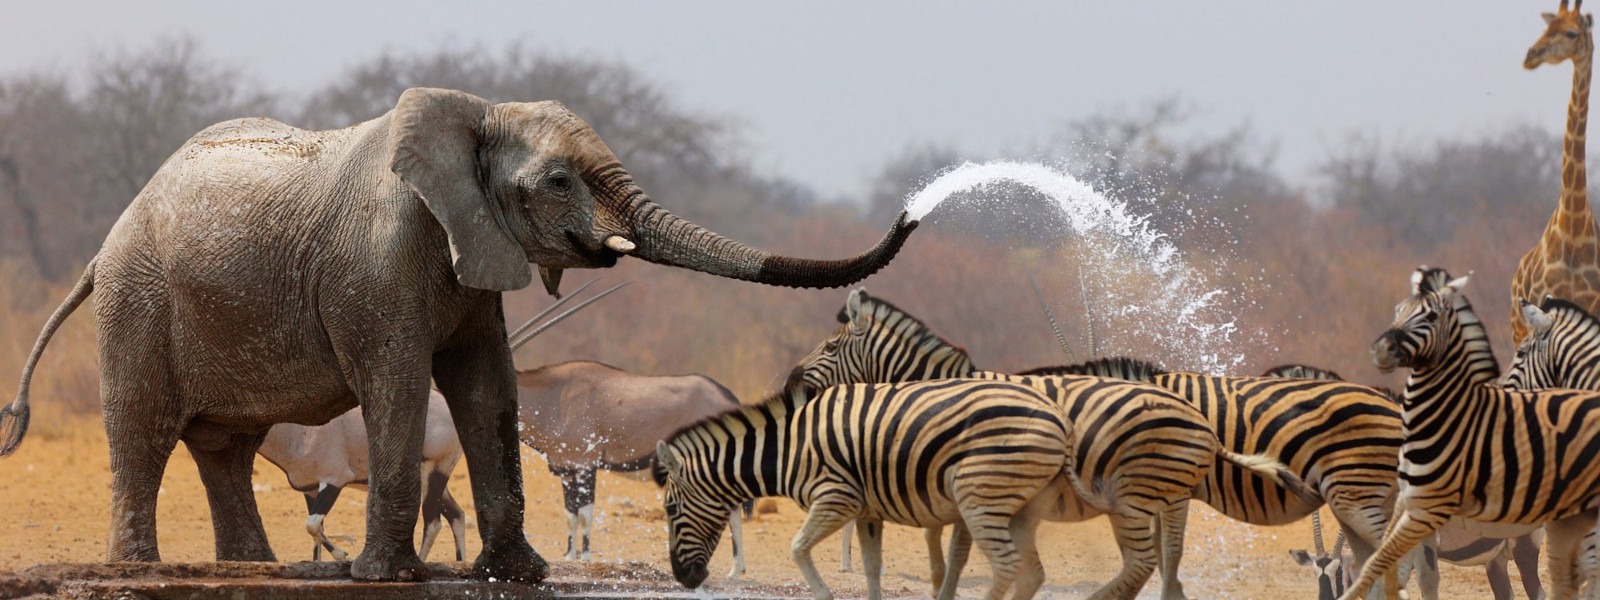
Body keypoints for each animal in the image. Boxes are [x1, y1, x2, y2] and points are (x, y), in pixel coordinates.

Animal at [0, 86, 915, 585]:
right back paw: (140, 571)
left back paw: (251, 570)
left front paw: (519, 574)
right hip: (138, 301)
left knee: (226, 445)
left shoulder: (475, 253)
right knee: (145, 432)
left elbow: (487, 388)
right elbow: (401, 384)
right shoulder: (378, 260)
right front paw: (387, 577)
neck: (475, 116)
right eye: (558, 181)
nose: (912, 210)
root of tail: (103, 245)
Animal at [649, 376, 1075, 600]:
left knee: (1007, 565)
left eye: (670, 510)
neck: (790, 448)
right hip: (1015, 506)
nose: (685, 579)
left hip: (981, 499)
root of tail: (1059, 417)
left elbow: (798, 549)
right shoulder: (869, 511)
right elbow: (870, 569)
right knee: (1028, 572)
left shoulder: (836, 497)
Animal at [796, 289, 1312, 598]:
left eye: (829, 348)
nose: (793, 380)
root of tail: (1198, 421)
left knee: (1161, 555)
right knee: (1168, 555)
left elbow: (953, 553)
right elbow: (949, 551)